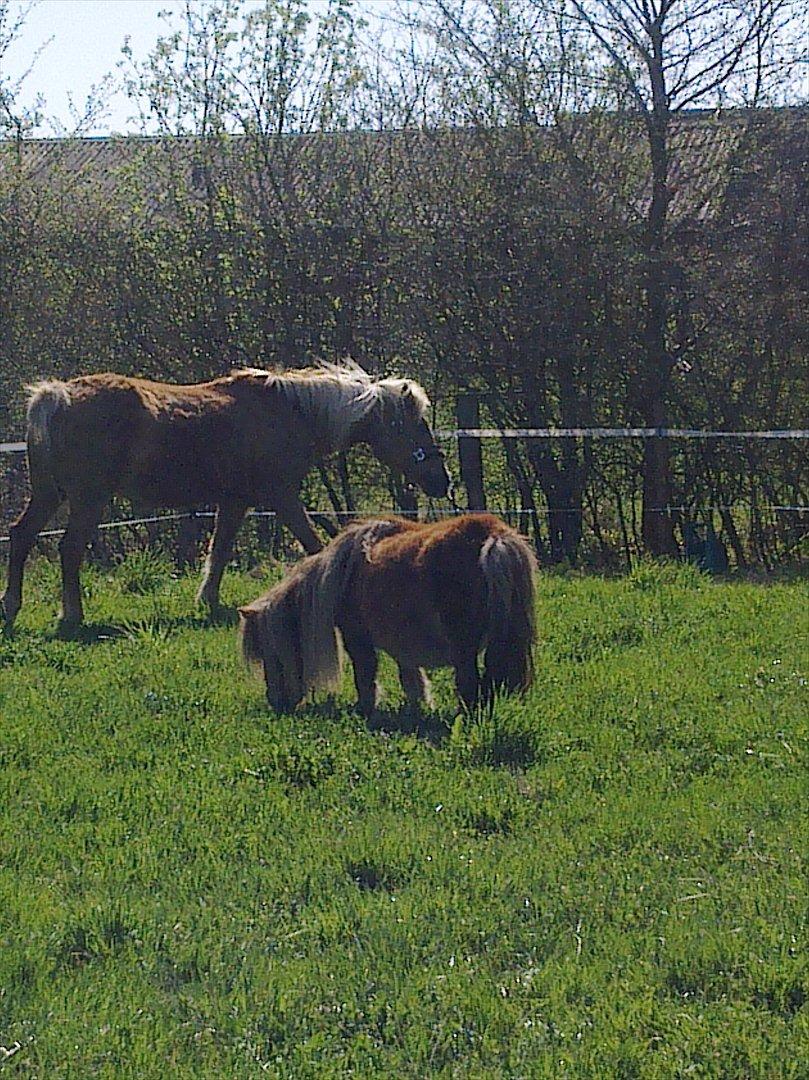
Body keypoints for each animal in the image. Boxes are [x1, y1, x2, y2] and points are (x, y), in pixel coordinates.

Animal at [1, 358, 447, 630]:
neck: (290, 412)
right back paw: (71, 617)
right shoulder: (281, 496)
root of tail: (57, 396)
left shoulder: (234, 501)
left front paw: (209, 602)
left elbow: (219, 553)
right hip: (88, 499)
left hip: (49, 495)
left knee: (22, 537)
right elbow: (313, 543)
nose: (442, 481)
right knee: (70, 549)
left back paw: (11, 609)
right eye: (417, 424)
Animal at [236, 511, 533, 717]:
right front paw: (418, 708)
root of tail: (493, 538)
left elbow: (365, 675)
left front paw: (366, 708)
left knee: (469, 682)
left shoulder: (357, 638)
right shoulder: (404, 645)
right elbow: (411, 677)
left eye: (271, 654)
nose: (276, 702)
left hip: (464, 648)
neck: (342, 573)